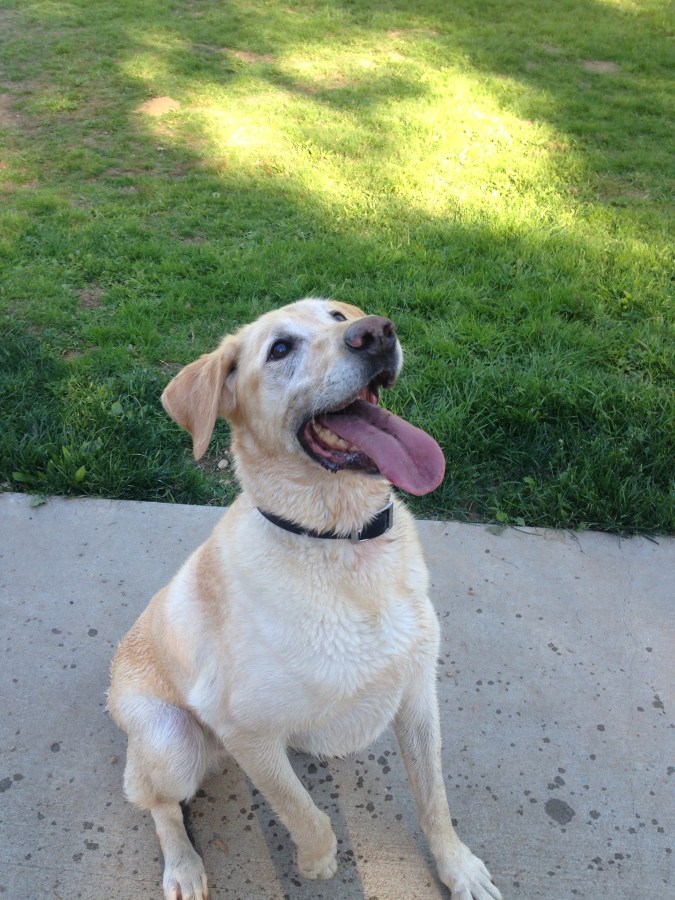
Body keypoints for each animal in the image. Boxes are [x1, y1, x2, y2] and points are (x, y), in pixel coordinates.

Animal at [109, 298, 502, 900]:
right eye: (279, 349)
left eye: (337, 315)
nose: (377, 333)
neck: (343, 545)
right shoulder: (245, 732)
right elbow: (303, 811)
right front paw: (316, 862)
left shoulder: (417, 694)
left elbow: (435, 799)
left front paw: (458, 868)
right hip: (171, 741)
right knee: (159, 804)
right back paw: (183, 866)